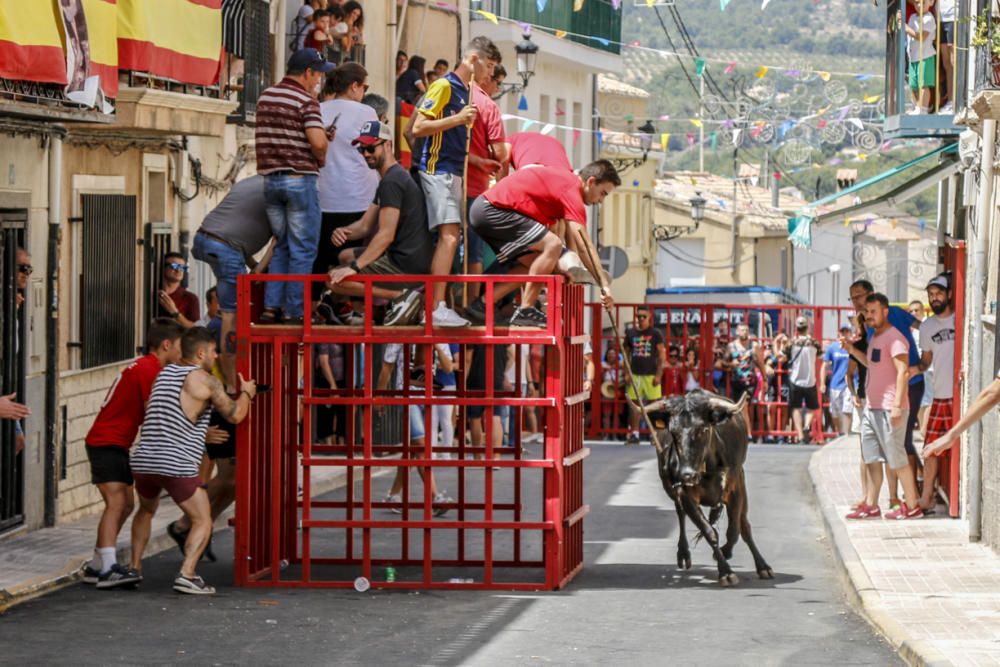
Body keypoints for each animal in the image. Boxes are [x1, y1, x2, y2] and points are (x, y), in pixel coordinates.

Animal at [640, 392, 772, 588]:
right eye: (673, 432)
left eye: (702, 429)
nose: (687, 474)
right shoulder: (683, 492)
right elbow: (709, 532)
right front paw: (725, 572)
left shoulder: (735, 486)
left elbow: (734, 530)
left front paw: (726, 552)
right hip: (670, 487)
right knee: (681, 514)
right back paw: (683, 553)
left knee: (744, 526)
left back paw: (763, 566)